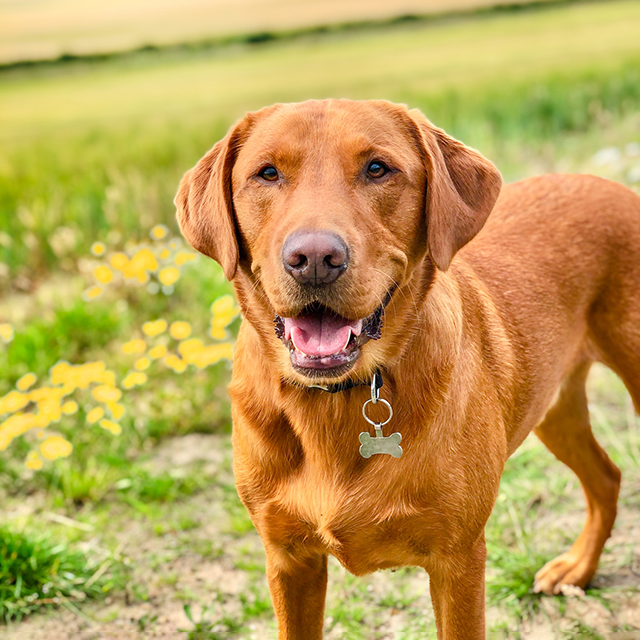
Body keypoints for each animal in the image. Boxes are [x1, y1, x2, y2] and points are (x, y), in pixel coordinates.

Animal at [175, 97, 640, 636]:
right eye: (267, 173)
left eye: (378, 168)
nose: (313, 258)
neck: (342, 397)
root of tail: (612, 185)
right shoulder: (289, 559)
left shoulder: (458, 560)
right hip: (553, 406)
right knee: (606, 477)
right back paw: (578, 567)